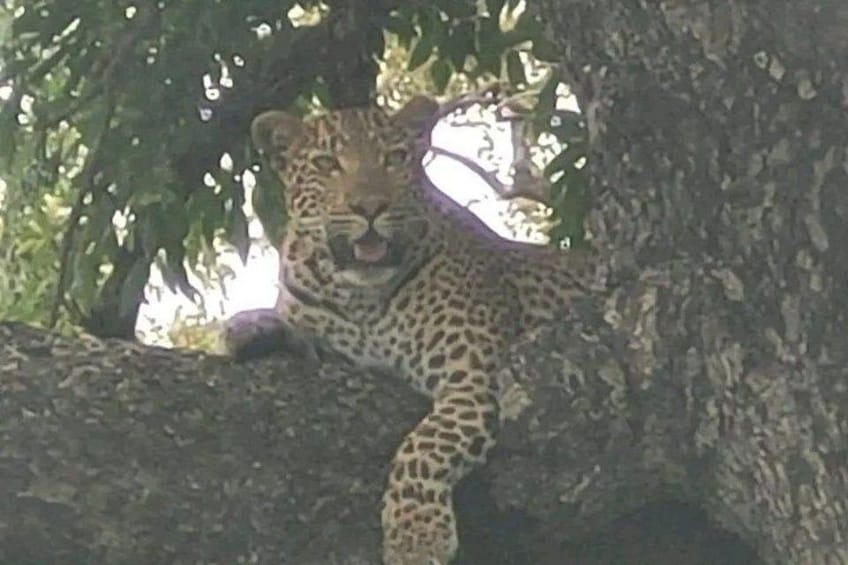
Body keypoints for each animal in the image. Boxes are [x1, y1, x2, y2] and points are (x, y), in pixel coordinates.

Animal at [226, 96, 593, 564]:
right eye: (327, 163)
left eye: (395, 158)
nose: (369, 207)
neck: (361, 296)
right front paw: (251, 326)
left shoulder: (474, 378)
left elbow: (423, 446)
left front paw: (416, 535)